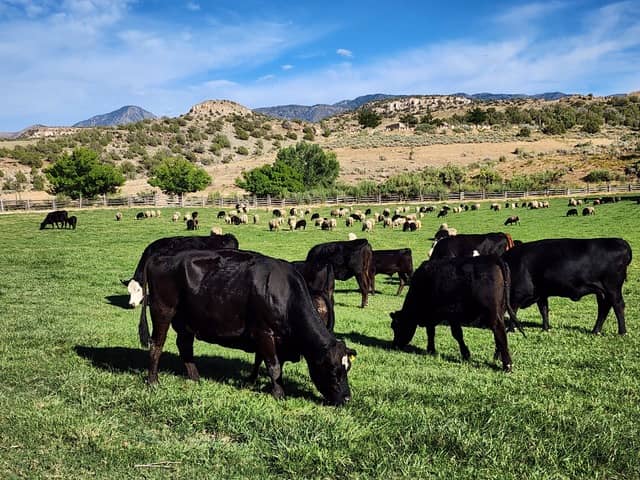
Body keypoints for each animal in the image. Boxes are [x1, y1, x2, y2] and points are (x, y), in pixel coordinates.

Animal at [140, 249, 358, 406]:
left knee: (184, 345)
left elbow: (261, 360)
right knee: (157, 344)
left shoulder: (270, 338)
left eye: (347, 368)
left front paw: (251, 380)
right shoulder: (263, 332)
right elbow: (273, 366)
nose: (347, 399)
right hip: (163, 311)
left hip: (186, 319)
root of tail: (160, 256)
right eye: (333, 371)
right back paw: (153, 381)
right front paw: (279, 394)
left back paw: (195, 377)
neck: (285, 294)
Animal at [390, 256, 520, 374]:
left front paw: (465, 353)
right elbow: (431, 332)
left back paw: (507, 365)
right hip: (501, 310)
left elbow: (456, 334)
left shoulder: (450, 315)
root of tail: (493, 258)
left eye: (396, 326)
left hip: (492, 313)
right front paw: (431, 349)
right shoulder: (433, 317)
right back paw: (498, 357)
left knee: (499, 331)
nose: (394, 345)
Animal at [502, 236, 632, 334]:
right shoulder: (541, 293)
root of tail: (620, 241)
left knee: (618, 305)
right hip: (602, 292)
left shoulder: (518, 293)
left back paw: (622, 332)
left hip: (612, 288)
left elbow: (513, 311)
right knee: (604, 308)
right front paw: (546, 328)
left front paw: (510, 330)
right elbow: (544, 310)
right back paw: (596, 331)